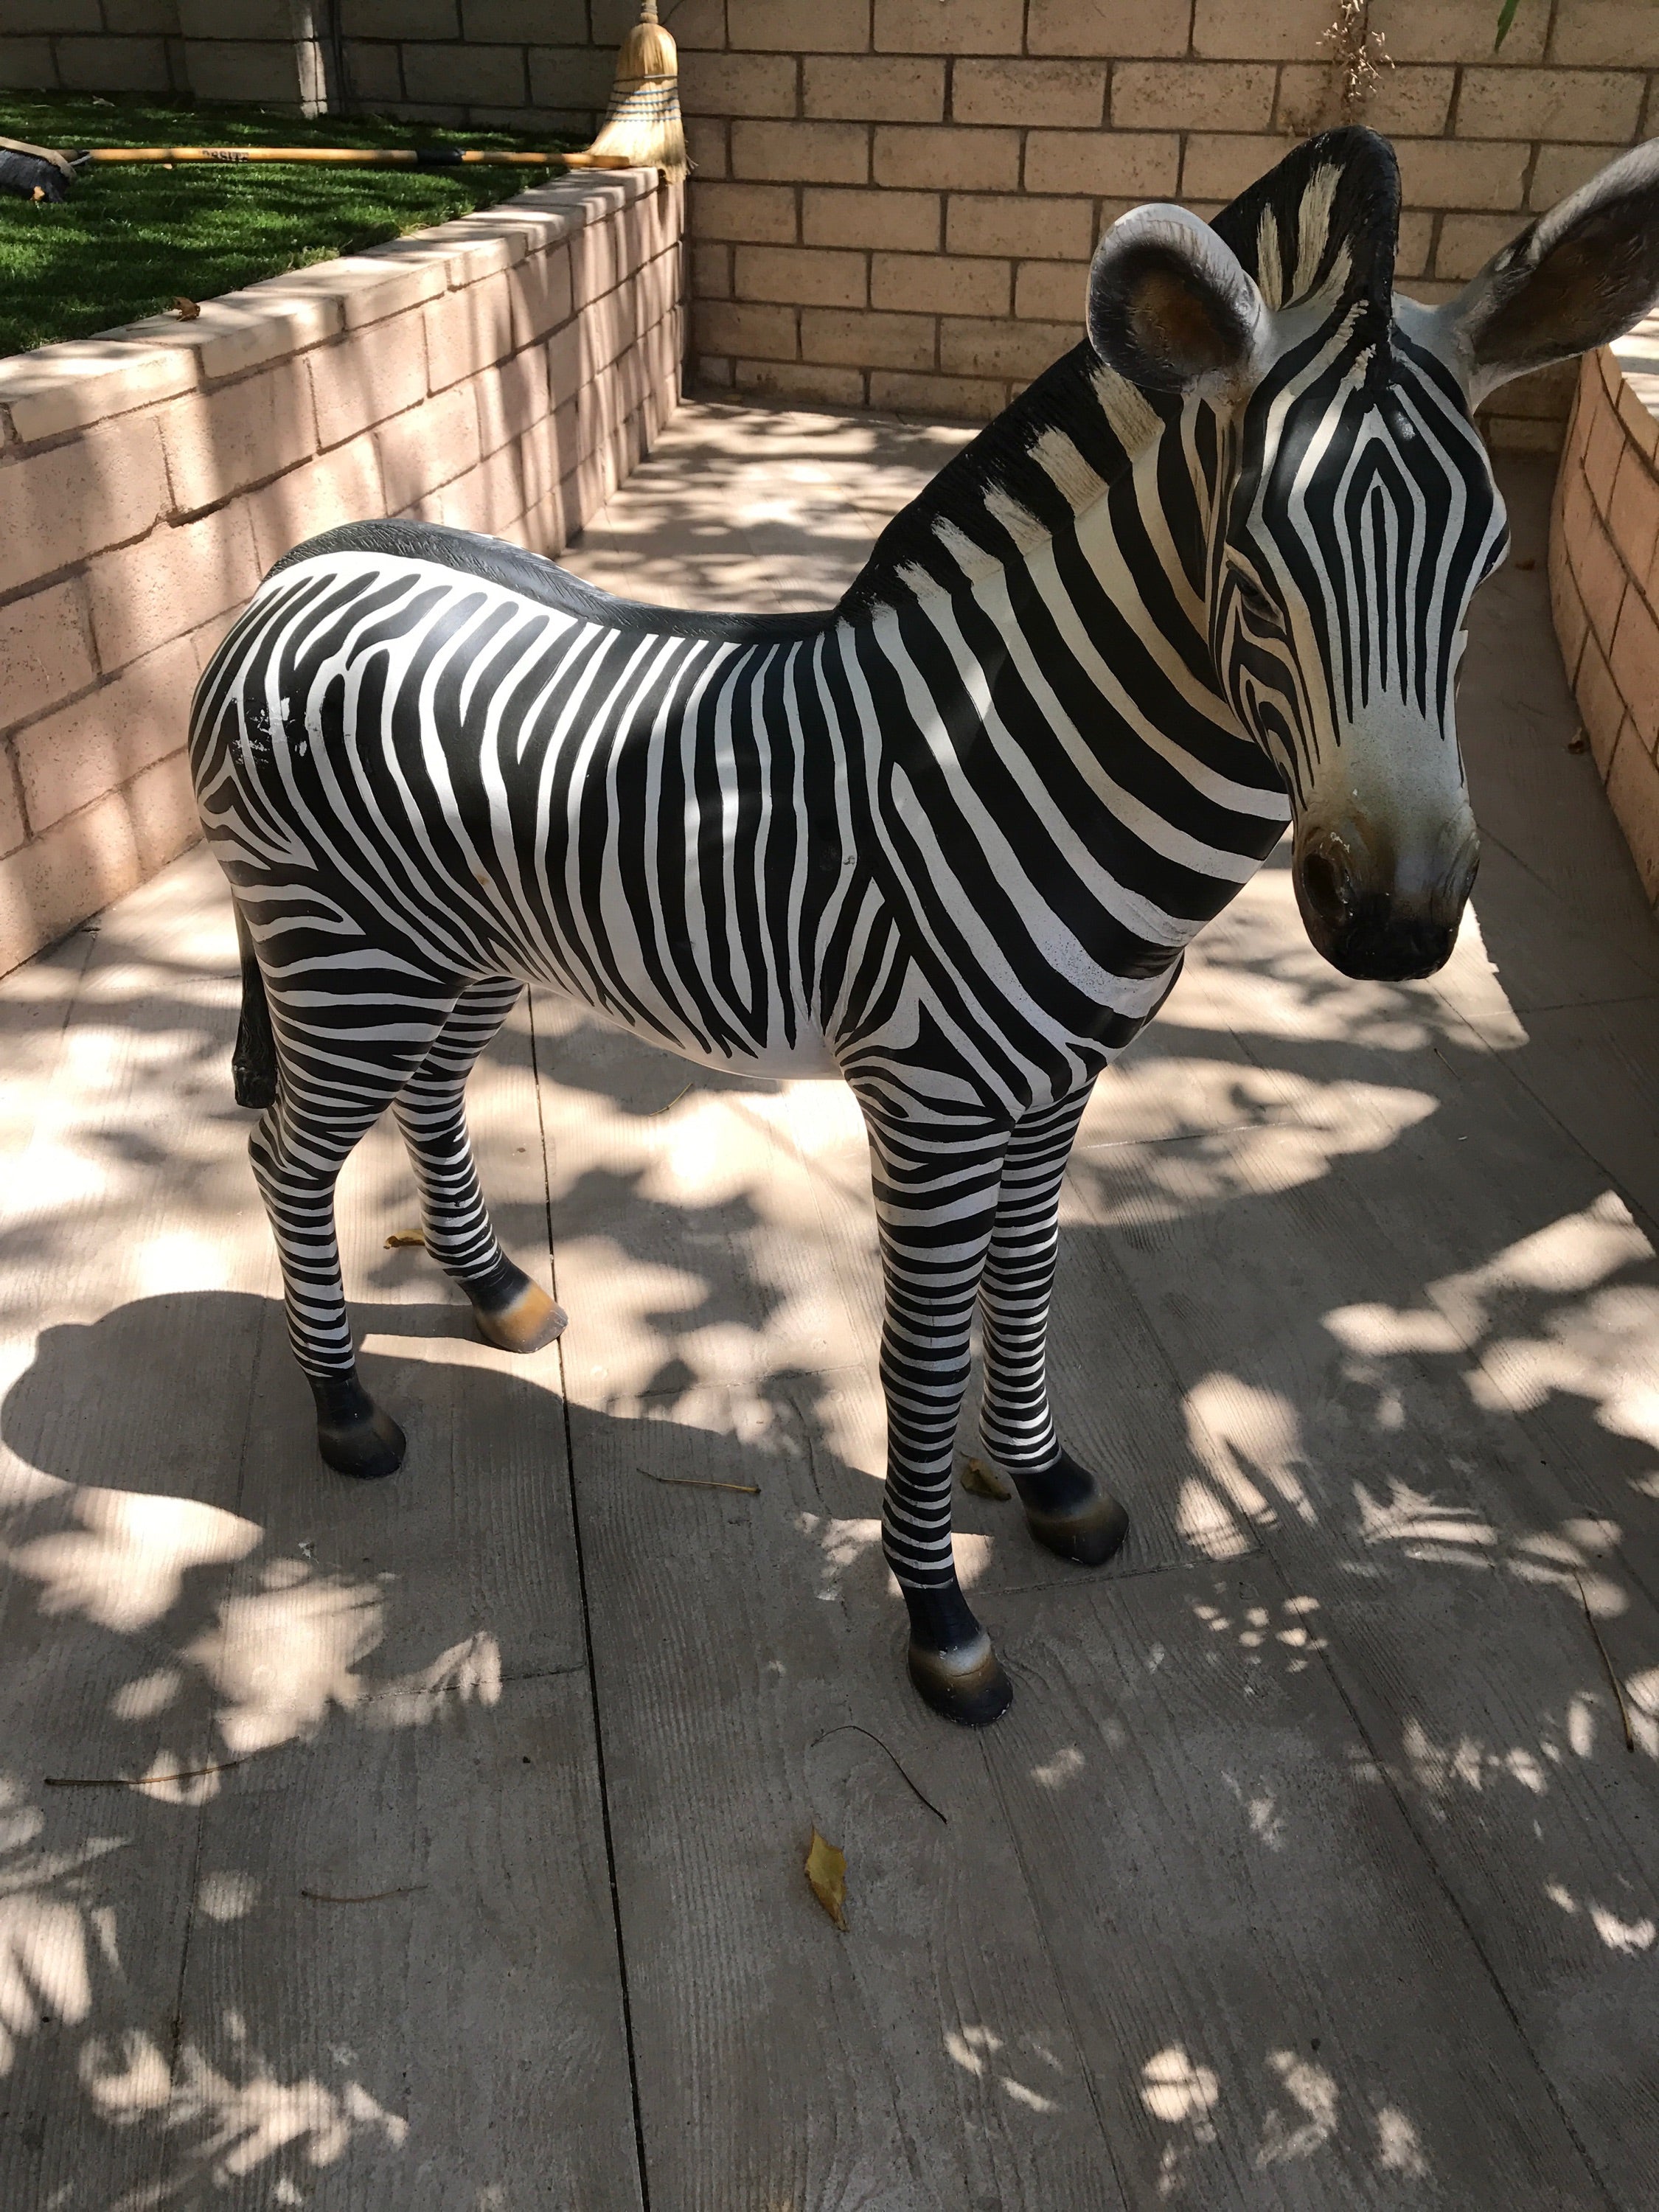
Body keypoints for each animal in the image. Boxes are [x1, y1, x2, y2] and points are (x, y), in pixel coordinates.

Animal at [191, 129, 1659, 1723]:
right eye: (1252, 559)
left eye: (1491, 561)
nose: (1391, 917)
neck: (1026, 755)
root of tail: (296, 567)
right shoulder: (937, 1100)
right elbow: (927, 1353)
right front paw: (941, 1616)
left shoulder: (1058, 1087)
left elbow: (1026, 1295)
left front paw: (1049, 1485)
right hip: (343, 952)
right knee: (288, 1156)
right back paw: (347, 1410)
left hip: (453, 945)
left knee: (434, 1096)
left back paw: (500, 1296)